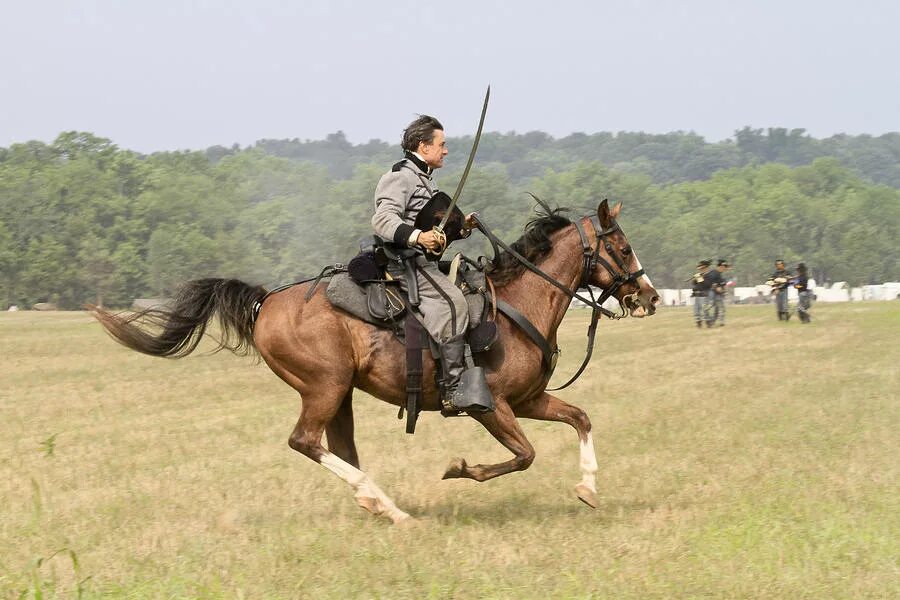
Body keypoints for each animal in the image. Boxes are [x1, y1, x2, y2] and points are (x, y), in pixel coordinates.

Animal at [91, 199, 656, 524]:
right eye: (624, 247)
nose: (648, 298)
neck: (518, 307)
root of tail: (264, 303)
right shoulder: (492, 407)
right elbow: (524, 455)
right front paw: (460, 469)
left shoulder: (529, 400)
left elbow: (580, 419)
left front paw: (588, 488)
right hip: (324, 387)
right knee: (305, 442)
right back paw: (391, 509)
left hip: (339, 394)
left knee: (337, 447)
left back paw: (377, 503)